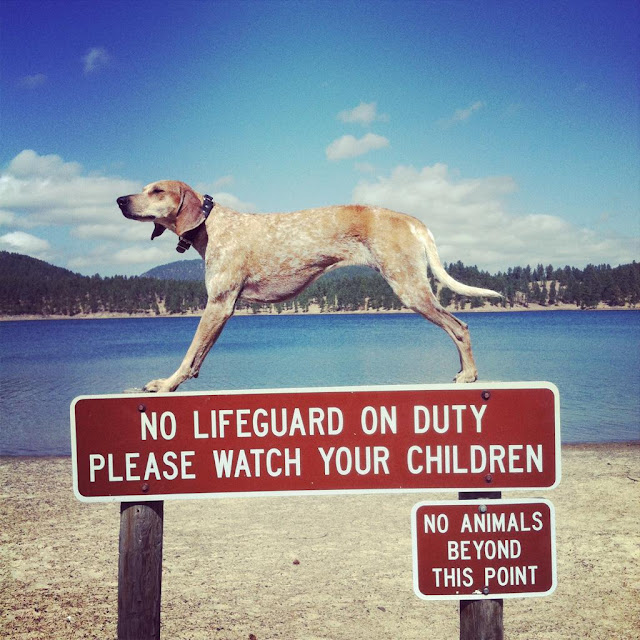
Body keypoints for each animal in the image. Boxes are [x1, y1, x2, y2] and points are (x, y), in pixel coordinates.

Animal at [117, 178, 502, 392]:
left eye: (157, 191)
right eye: (143, 189)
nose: (120, 200)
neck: (211, 225)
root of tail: (411, 219)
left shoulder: (220, 304)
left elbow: (188, 354)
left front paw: (166, 384)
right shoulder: (221, 308)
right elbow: (198, 356)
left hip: (410, 288)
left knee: (460, 327)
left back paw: (469, 374)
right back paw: (463, 372)